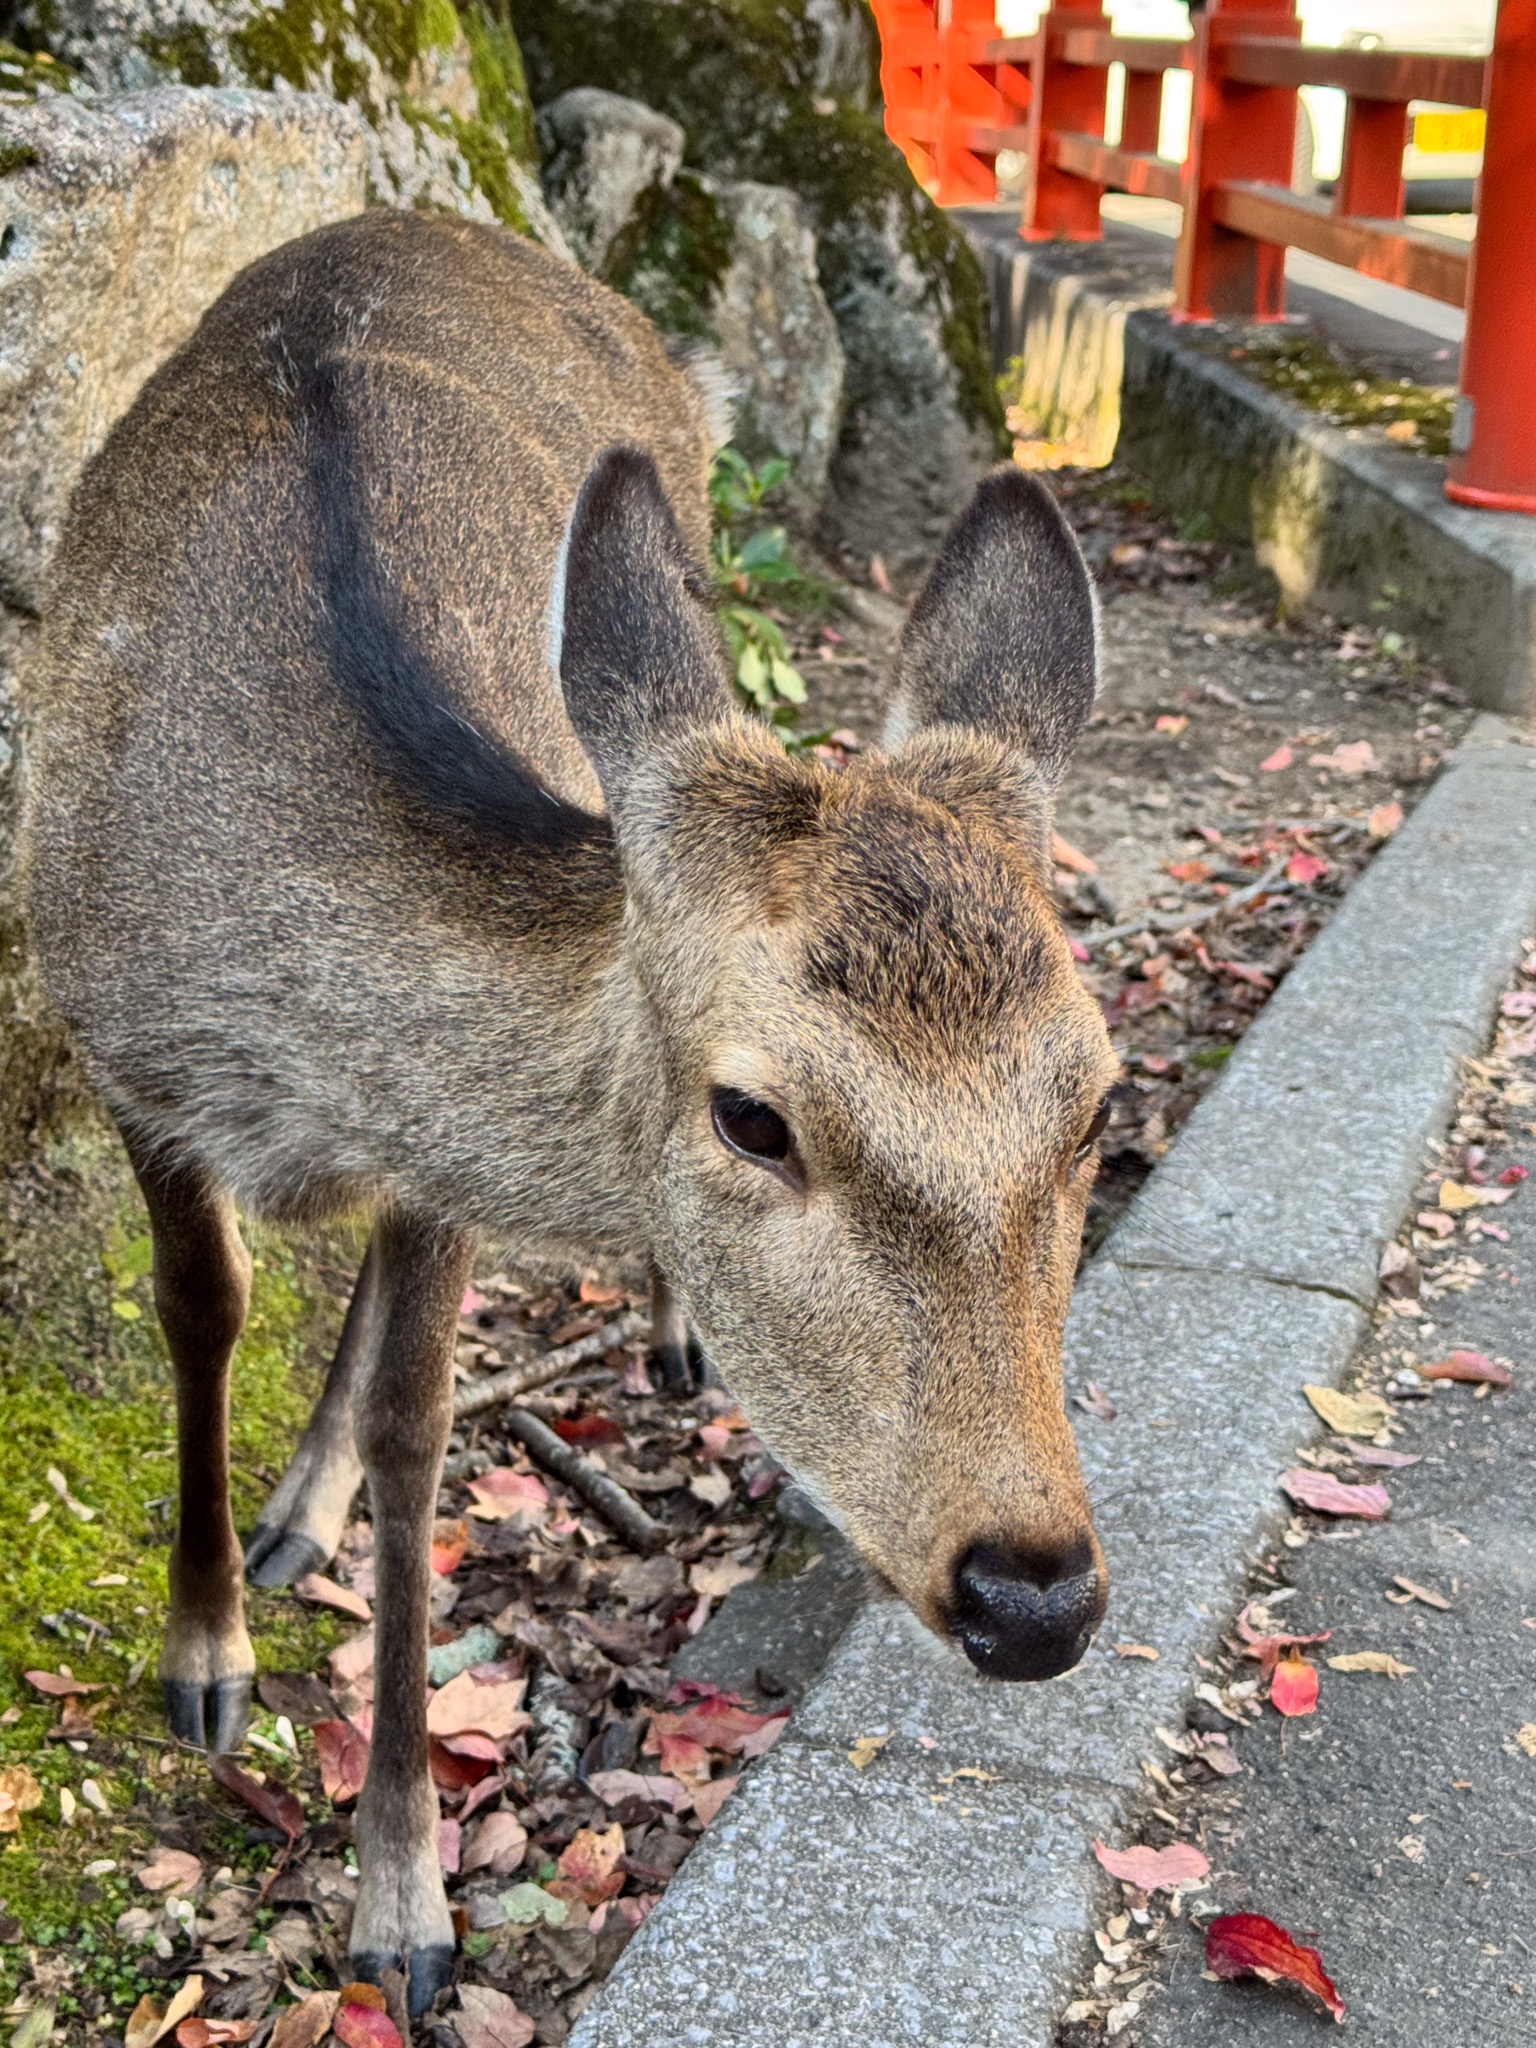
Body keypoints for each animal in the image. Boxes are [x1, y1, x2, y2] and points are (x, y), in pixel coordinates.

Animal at [22, 208, 1119, 2011]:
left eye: (1097, 1101)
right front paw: (206, 1654)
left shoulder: (424, 1169)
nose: (1034, 1592)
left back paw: (642, 1344)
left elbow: (419, 1428)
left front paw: (399, 1898)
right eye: (751, 1115)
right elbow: (204, 1308)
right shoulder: (114, 1047)